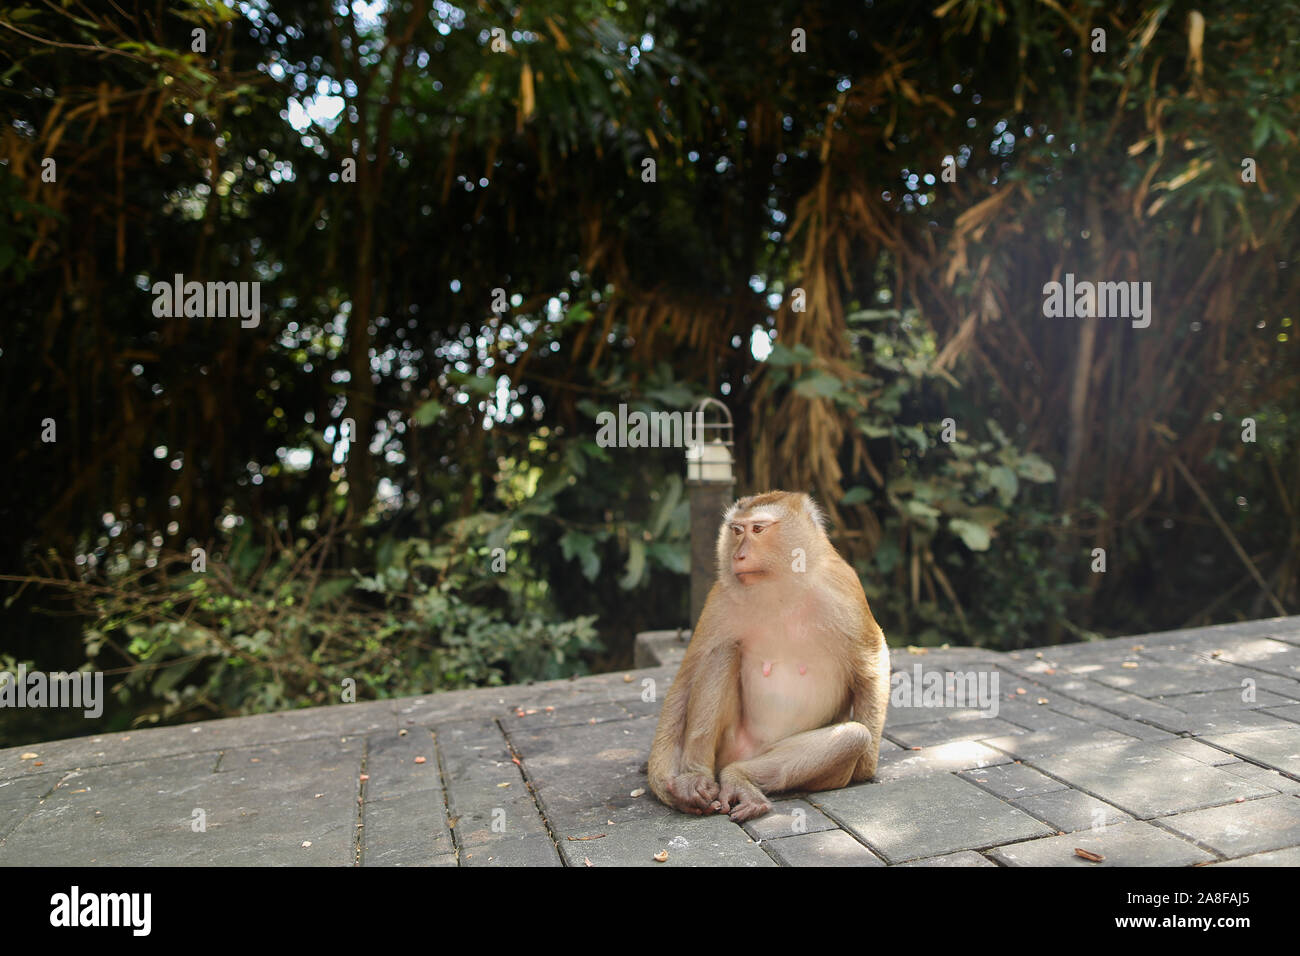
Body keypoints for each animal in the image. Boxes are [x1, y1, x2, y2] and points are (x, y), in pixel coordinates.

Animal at [644, 489, 889, 816]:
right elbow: (687, 677)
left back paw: (739, 778)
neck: (781, 590)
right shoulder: (721, 597)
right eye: (737, 530)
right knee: (721, 653)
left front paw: (865, 767)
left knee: (853, 737)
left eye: (758, 529)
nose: (738, 555)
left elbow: (872, 660)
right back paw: (697, 776)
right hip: (729, 745)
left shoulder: (842, 589)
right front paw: (665, 781)